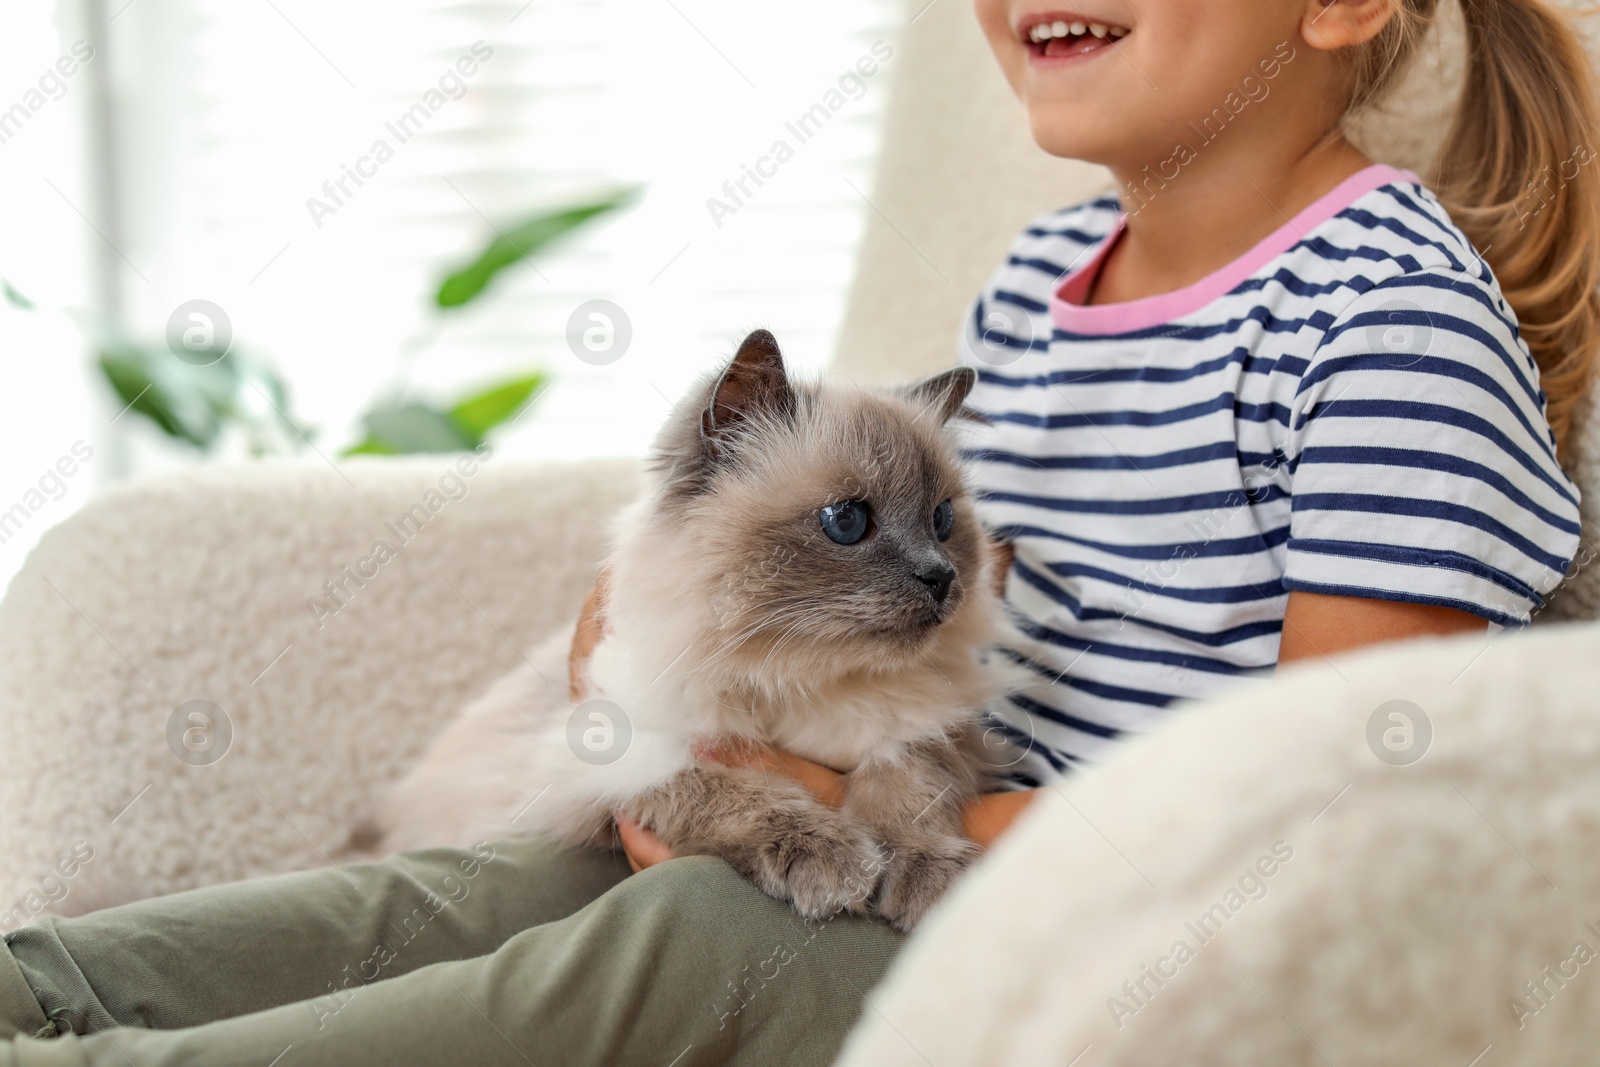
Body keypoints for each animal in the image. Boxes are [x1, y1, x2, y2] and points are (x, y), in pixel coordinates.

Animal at [366, 329, 1024, 927]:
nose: (940, 577)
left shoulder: (928, 732)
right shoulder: (628, 757)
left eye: (942, 521)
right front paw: (833, 860)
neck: (793, 674)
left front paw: (927, 872)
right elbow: (737, 795)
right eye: (846, 520)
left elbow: (908, 791)